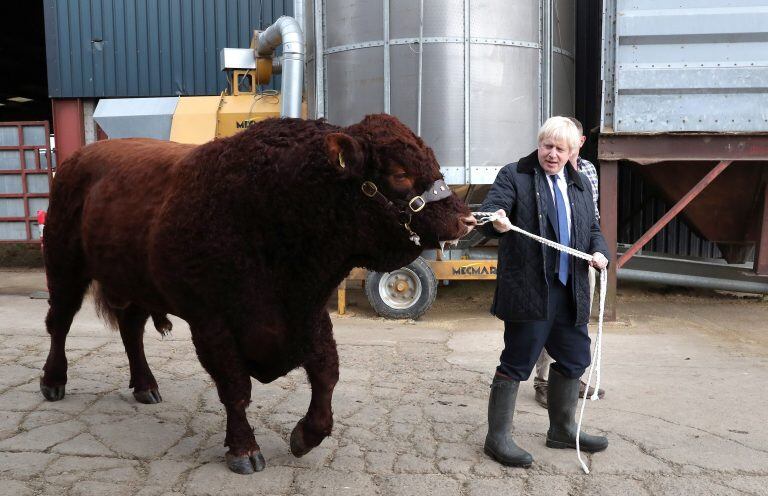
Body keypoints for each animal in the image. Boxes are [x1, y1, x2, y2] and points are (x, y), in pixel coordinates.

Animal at [42, 114, 476, 474]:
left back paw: (146, 387)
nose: (466, 219)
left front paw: (304, 437)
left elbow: (327, 374)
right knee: (59, 323)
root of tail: (76, 159)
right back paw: (53, 383)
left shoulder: (307, 314)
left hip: (135, 287)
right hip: (65, 270)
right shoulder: (212, 324)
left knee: (130, 330)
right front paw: (244, 452)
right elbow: (236, 388)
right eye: (400, 173)